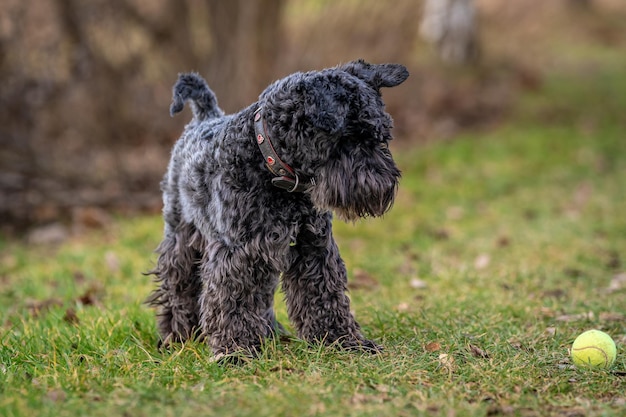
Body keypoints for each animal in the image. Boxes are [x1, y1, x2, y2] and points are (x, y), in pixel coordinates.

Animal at [148, 57, 408, 358]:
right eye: (350, 136)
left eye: (381, 135)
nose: (384, 183)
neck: (269, 164)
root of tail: (205, 117)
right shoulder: (237, 251)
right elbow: (232, 298)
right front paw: (236, 351)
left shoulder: (313, 245)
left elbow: (324, 292)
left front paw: (342, 340)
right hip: (181, 235)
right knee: (178, 285)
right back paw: (178, 334)